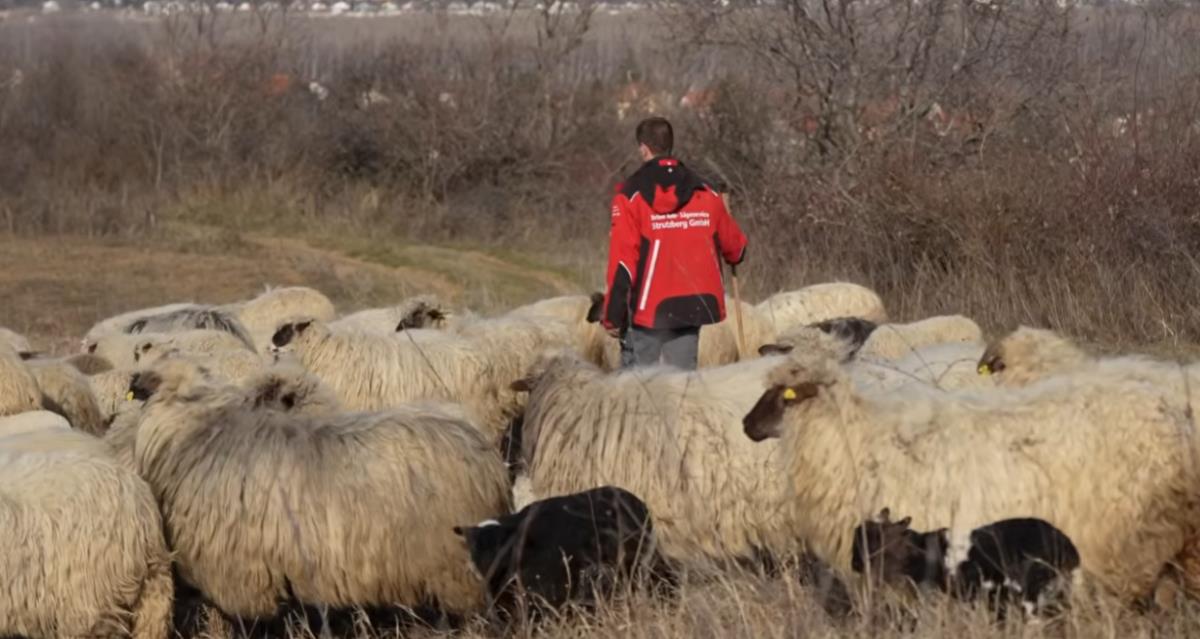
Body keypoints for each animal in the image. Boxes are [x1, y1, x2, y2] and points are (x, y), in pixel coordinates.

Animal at [128, 357, 510, 620]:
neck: (198, 429)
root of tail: (485, 453)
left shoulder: (240, 575)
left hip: (453, 567)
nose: (133, 378)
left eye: (154, 376)